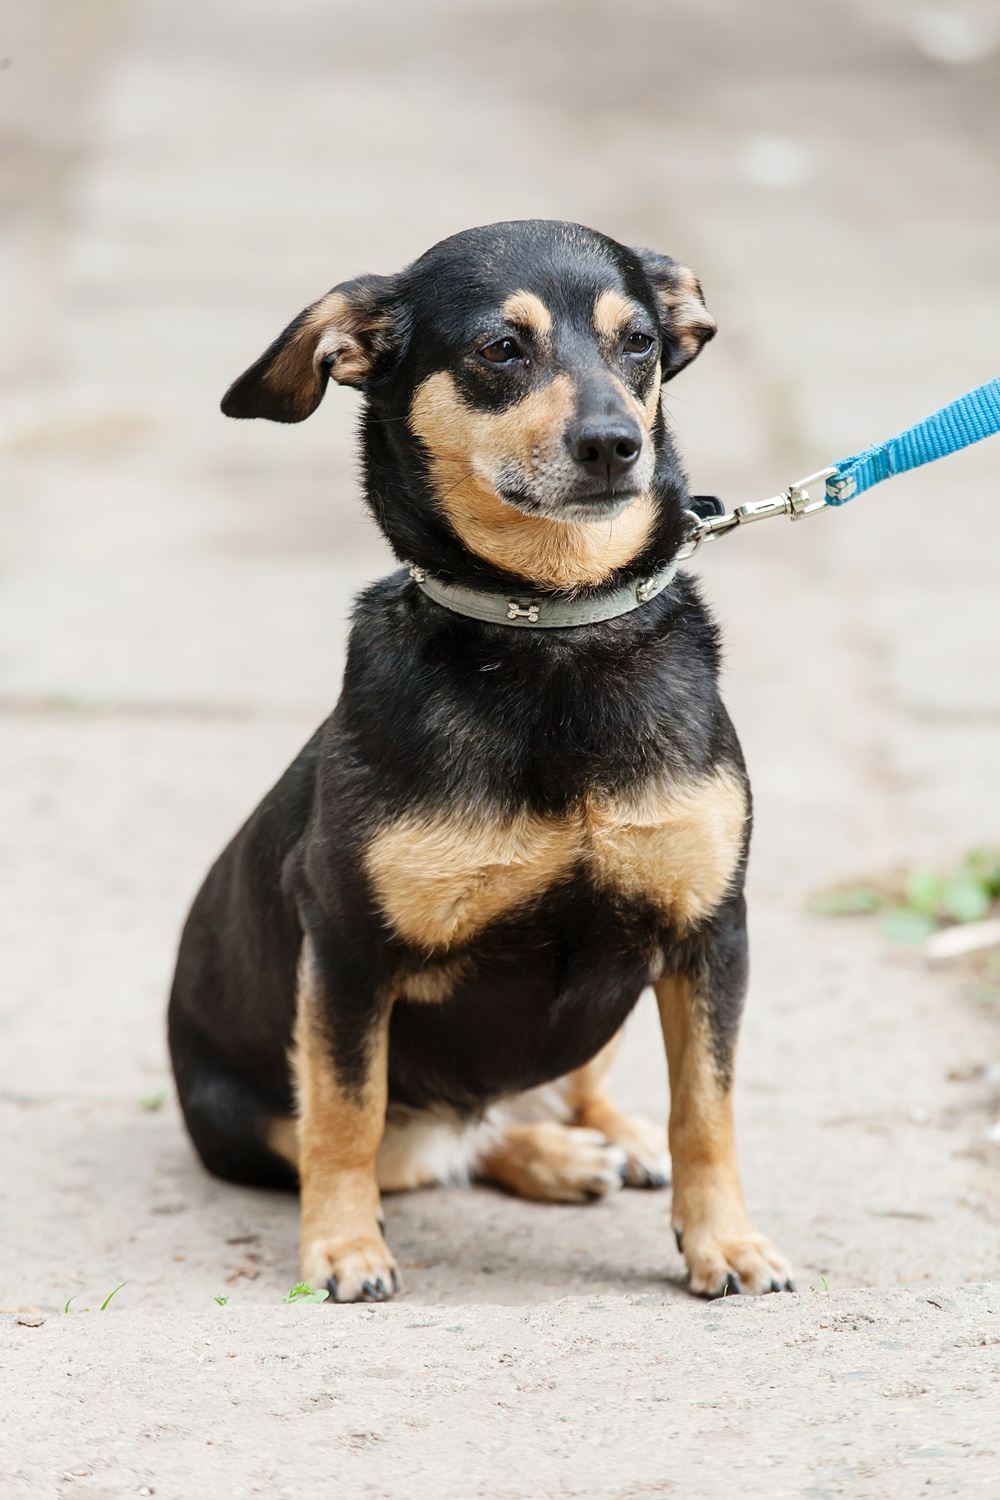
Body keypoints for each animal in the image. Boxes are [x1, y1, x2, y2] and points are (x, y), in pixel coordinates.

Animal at [168, 219, 793, 1304]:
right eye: (500, 350)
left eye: (638, 343)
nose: (614, 445)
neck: (551, 627)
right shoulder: (346, 949)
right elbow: (346, 1117)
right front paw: (341, 1249)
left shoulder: (709, 930)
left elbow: (706, 1111)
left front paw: (726, 1241)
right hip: (238, 1115)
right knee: (423, 1142)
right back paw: (543, 1155)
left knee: (550, 1097)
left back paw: (600, 1141)